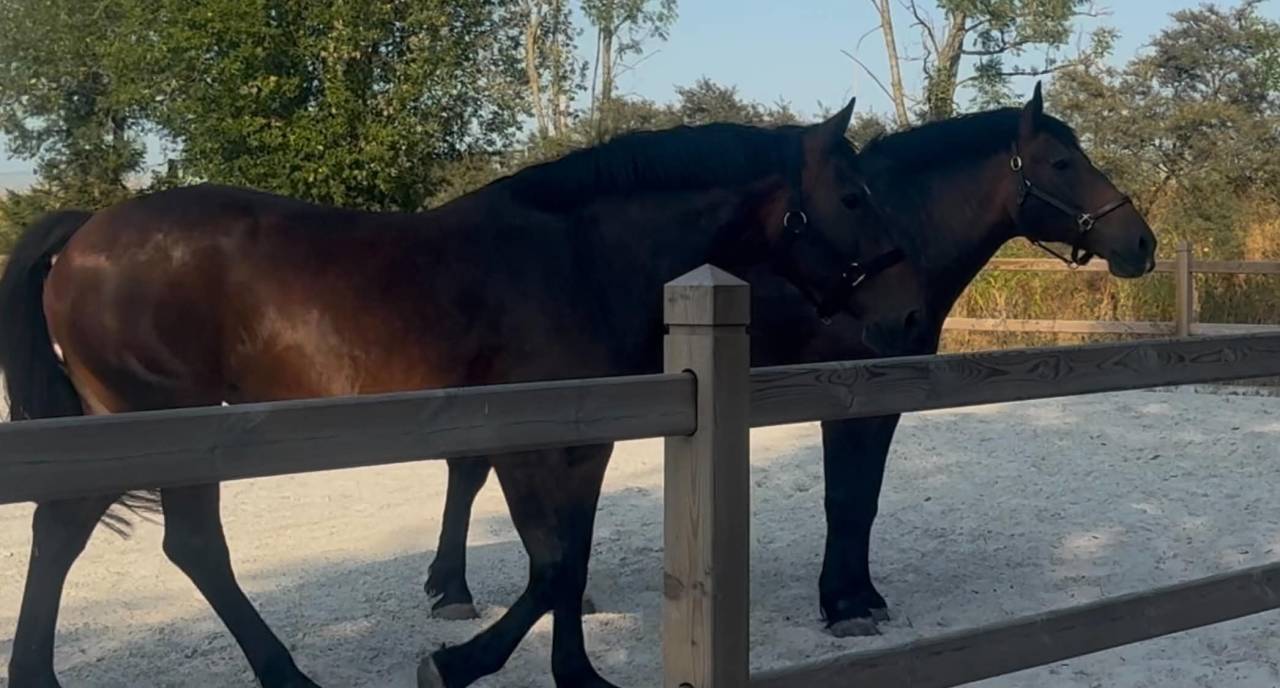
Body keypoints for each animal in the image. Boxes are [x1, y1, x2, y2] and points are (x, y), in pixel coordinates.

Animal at [0, 100, 932, 688]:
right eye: (854, 195)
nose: (910, 309)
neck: (579, 258)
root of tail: (85, 232)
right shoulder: (525, 448)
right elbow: (550, 568)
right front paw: (455, 664)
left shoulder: (587, 446)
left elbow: (568, 564)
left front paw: (577, 675)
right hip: (161, 421)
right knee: (178, 544)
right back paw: (282, 674)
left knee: (78, 533)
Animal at [423, 83, 1160, 636]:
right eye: (1062, 164)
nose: (1142, 242)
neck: (897, 240)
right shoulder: (846, 398)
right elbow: (845, 497)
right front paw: (844, 604)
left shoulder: (885, 399)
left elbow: (864, 498)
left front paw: (861, 595)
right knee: (473, 471)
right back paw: (460, 590)